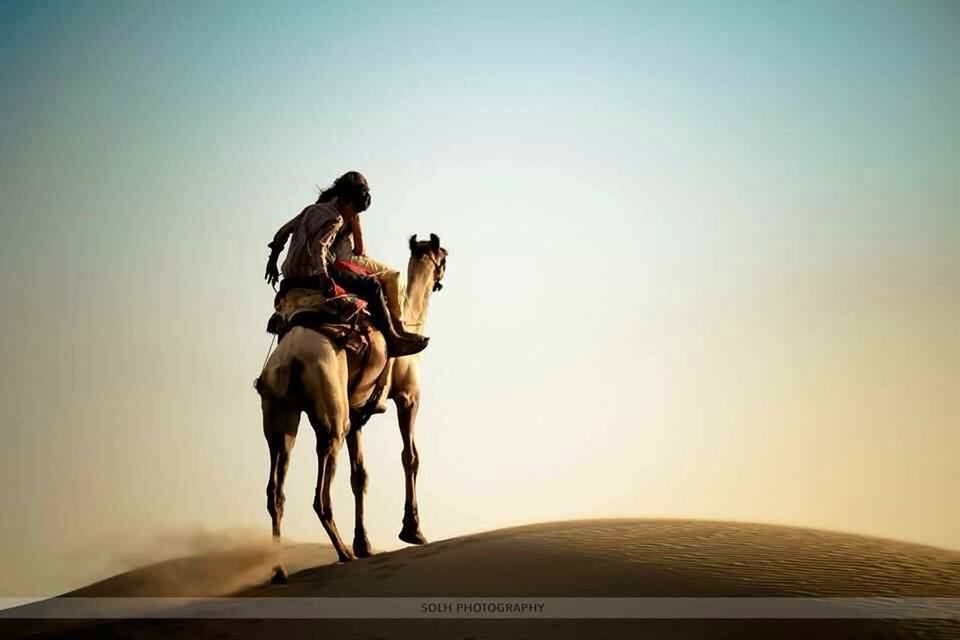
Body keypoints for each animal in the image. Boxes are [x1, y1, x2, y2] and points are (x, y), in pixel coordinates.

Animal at [255, 234, 450, 560]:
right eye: (444, 257)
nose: (441, 278)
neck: (410, 317)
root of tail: (290, 359)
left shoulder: (358, 415)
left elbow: (360, 476)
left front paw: (365, 543)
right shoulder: (409, 395)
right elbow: (410, 457)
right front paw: (413, 530)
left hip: (279, 413)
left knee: (275, 489)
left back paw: (280, 566)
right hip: (331, 413)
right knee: (320, 494)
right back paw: (343, 553)